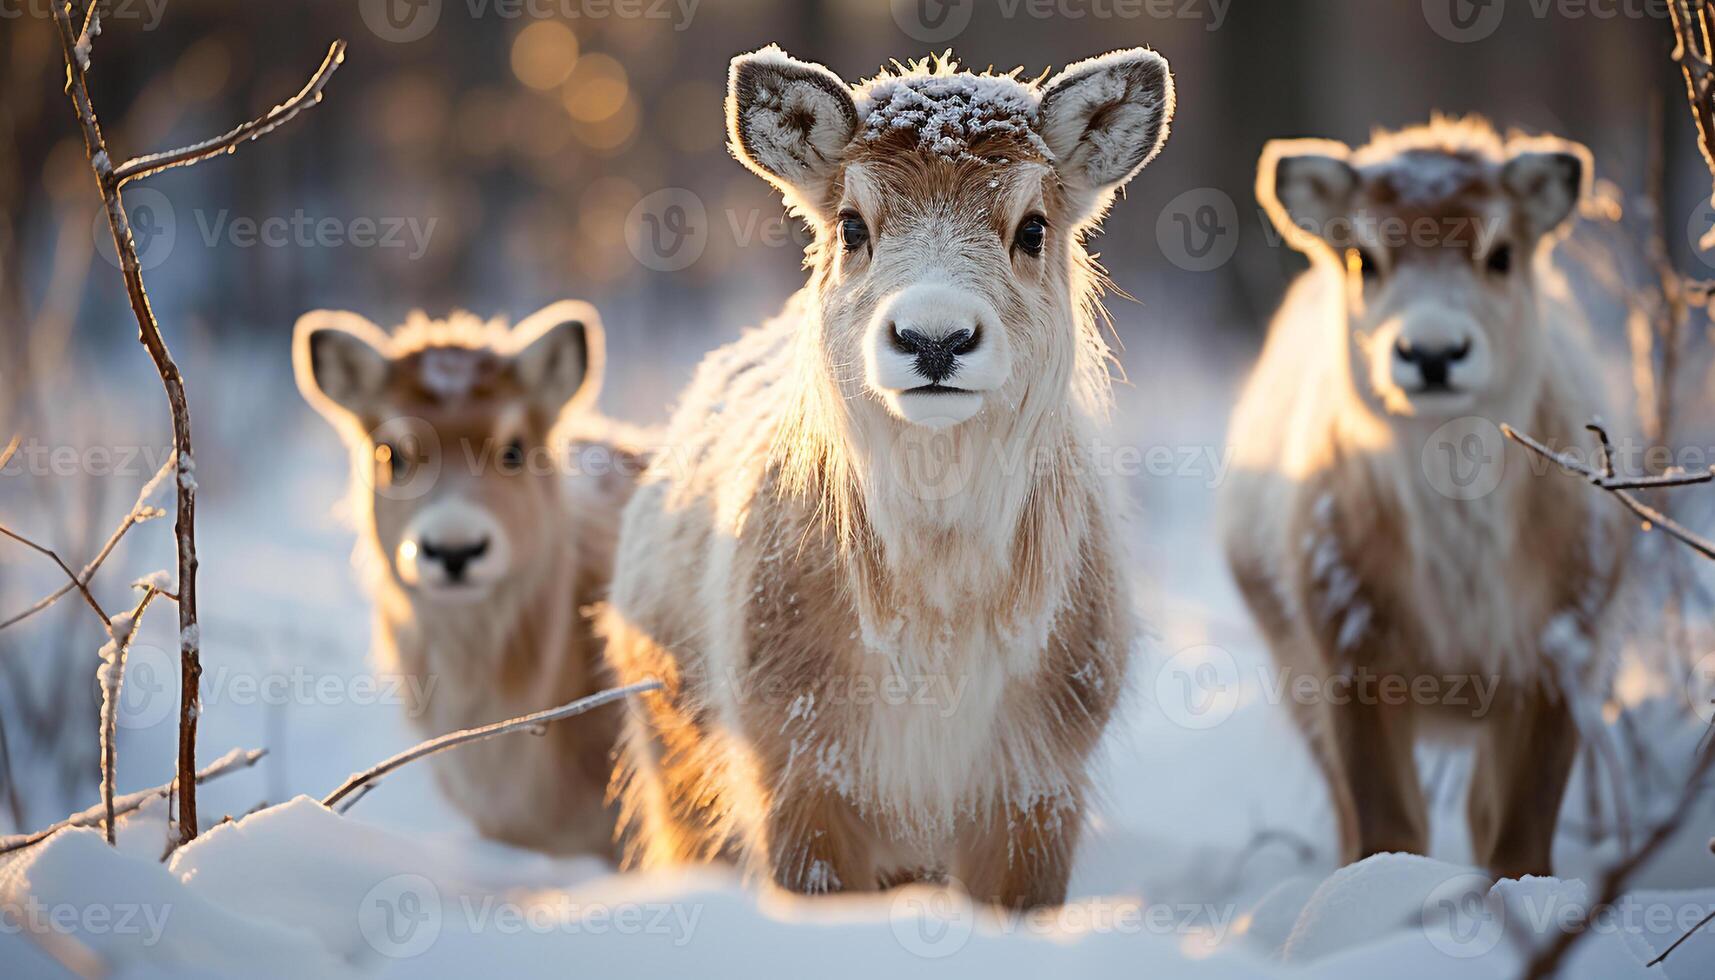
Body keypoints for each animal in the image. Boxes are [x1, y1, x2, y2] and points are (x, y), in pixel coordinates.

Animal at [603, 42, 1179, 906]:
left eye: (1033, 227)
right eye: (851, 225)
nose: (933, 337)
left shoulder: (1041, 776)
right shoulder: (798, 767)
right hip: (673, 759)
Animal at [1221, 119, 1618, 878]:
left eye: (1500, 253)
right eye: (1363, 257)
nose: (1432, 353)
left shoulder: (1566, 642)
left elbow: (1519, 841)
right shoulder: (1346, 648)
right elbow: (1387, 830)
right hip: (1291, 660)